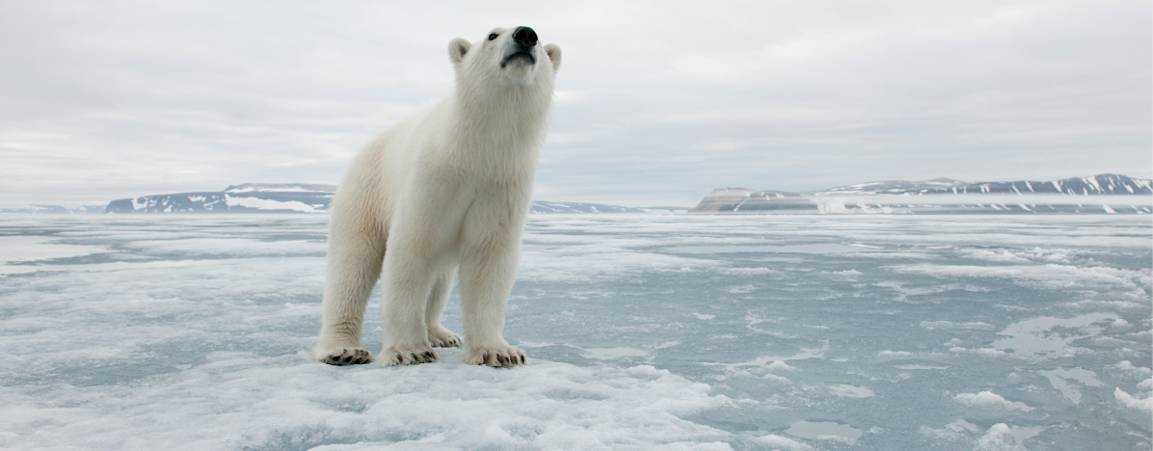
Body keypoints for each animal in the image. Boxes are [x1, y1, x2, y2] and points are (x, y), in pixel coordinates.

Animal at [312, 26, 561, 368]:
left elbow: (488, 259)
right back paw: (343, 350)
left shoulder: (502, 184)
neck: (475, 151)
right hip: (364, 195)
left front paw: (499, 352)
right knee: (351, 266)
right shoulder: (432, 178)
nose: (526, 35)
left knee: (439, 278)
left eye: (539, 36)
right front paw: (410, 350)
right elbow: (411, 248)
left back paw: (441, 333)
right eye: (493, 35)